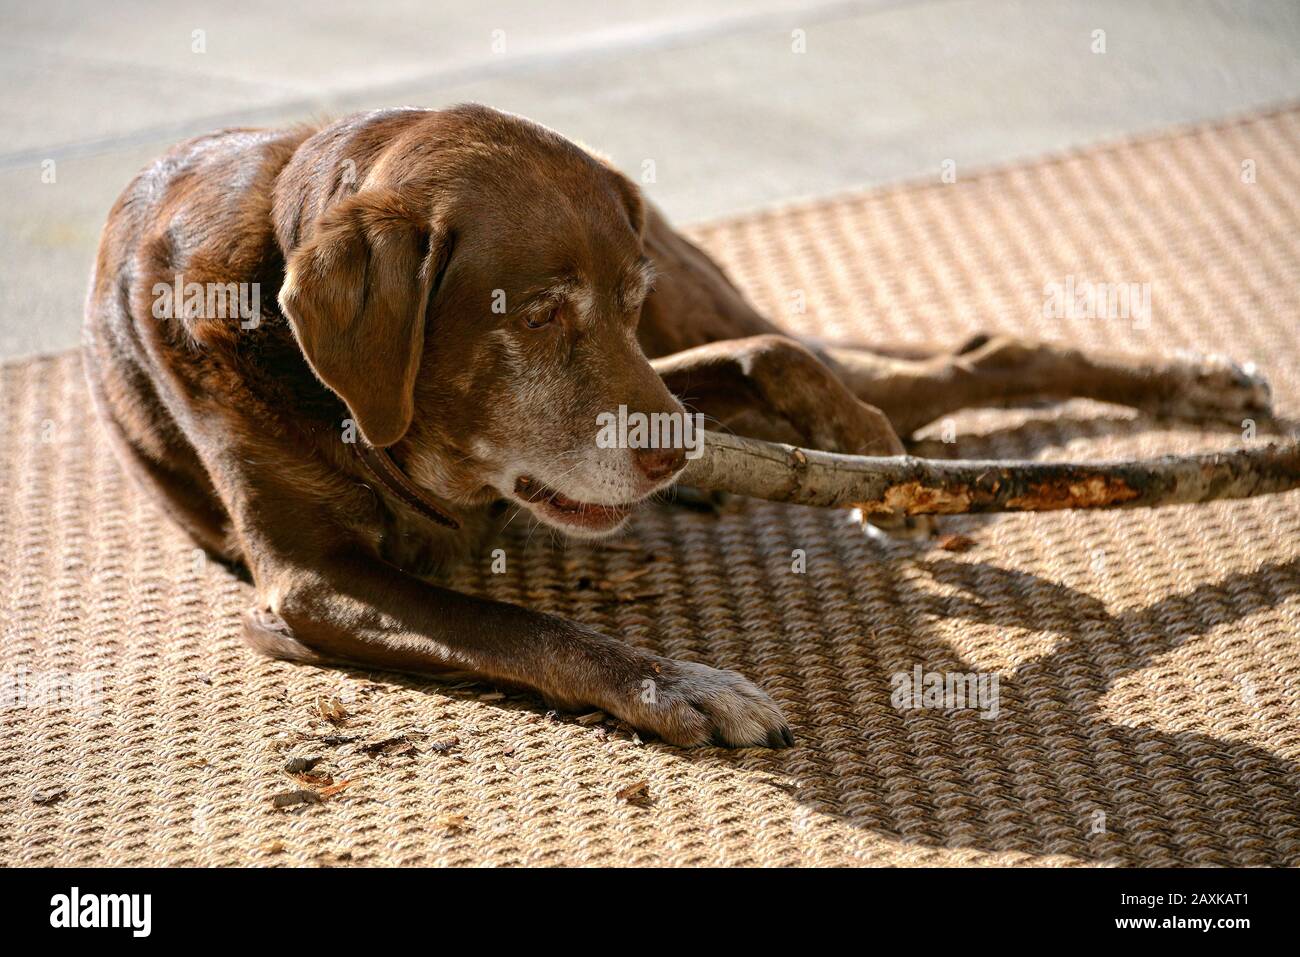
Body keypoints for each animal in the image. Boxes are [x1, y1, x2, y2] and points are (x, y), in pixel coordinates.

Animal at [86, 104, 1274, 748]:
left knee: (944, 359)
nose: (664, 459)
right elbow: (521, 625)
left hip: (703, 304)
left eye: (624, 293)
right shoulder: (308, 584)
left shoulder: (660, 351)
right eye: (537, 312)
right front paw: (679, 684)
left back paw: (1191, 388)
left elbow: (777, 359)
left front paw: (857, 440)